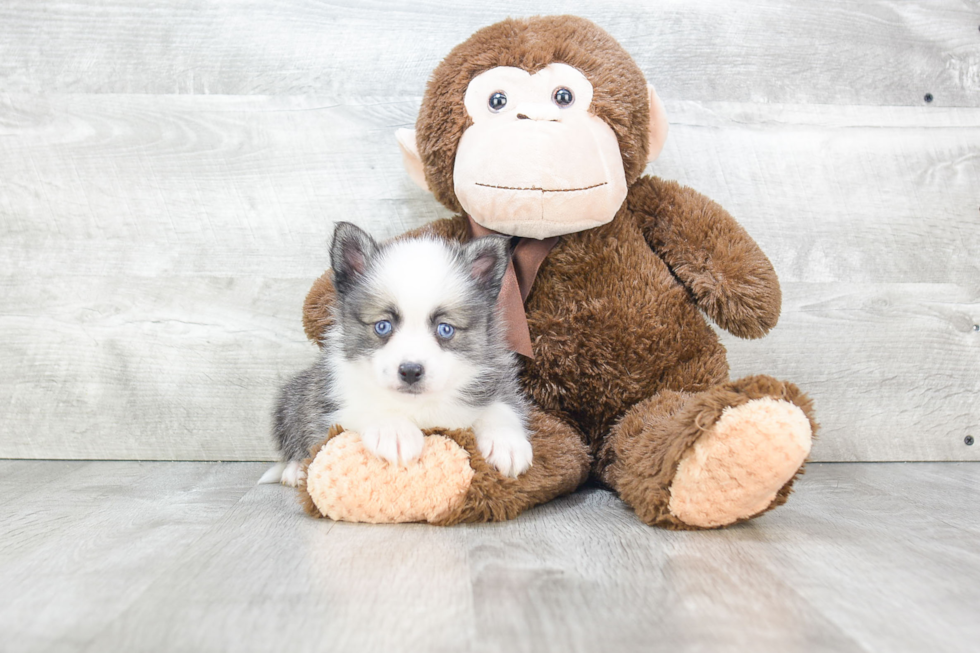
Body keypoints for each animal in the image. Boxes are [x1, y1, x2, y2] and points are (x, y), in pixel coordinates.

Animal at [260, 222, 532, 486]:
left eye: (445, 329)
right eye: (383, 326)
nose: (410, 371)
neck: (417, 406)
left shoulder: (497, 379)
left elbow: (501, 406)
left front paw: (507, 443)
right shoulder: (334, 398)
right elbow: (364, 404)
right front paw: (394, 431)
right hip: (294, 398)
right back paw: (295, 470)